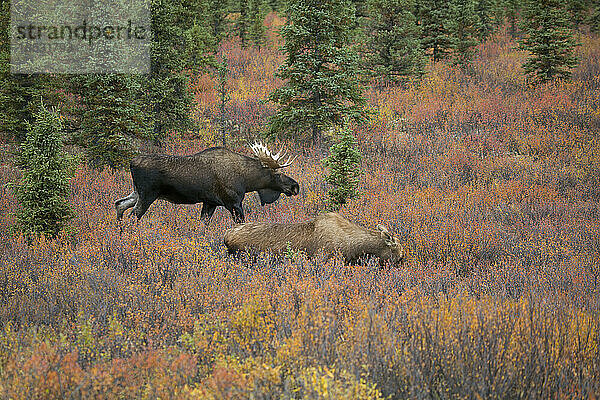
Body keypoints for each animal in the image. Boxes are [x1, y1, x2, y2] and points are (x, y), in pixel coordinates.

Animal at [113, 141, 298, 222]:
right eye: (277, 173)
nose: (295, 186)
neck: (247, 181)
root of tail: (131, 162)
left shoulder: (210, 203)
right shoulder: (233, 203)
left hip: (137, 192)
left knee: (120, 204)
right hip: (148, 194)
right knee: (133, 215)